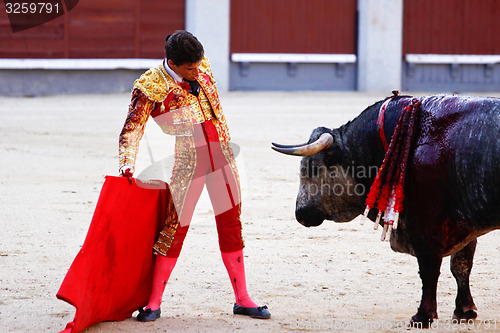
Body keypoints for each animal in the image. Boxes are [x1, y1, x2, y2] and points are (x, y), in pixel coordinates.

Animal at [274, 94, 500, 326]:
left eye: (312, 168)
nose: (300, 214)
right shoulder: (464, 223)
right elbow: (461, 266)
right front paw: (464, 311)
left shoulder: (426, 225)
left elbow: (429, 269)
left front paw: (422, 316)